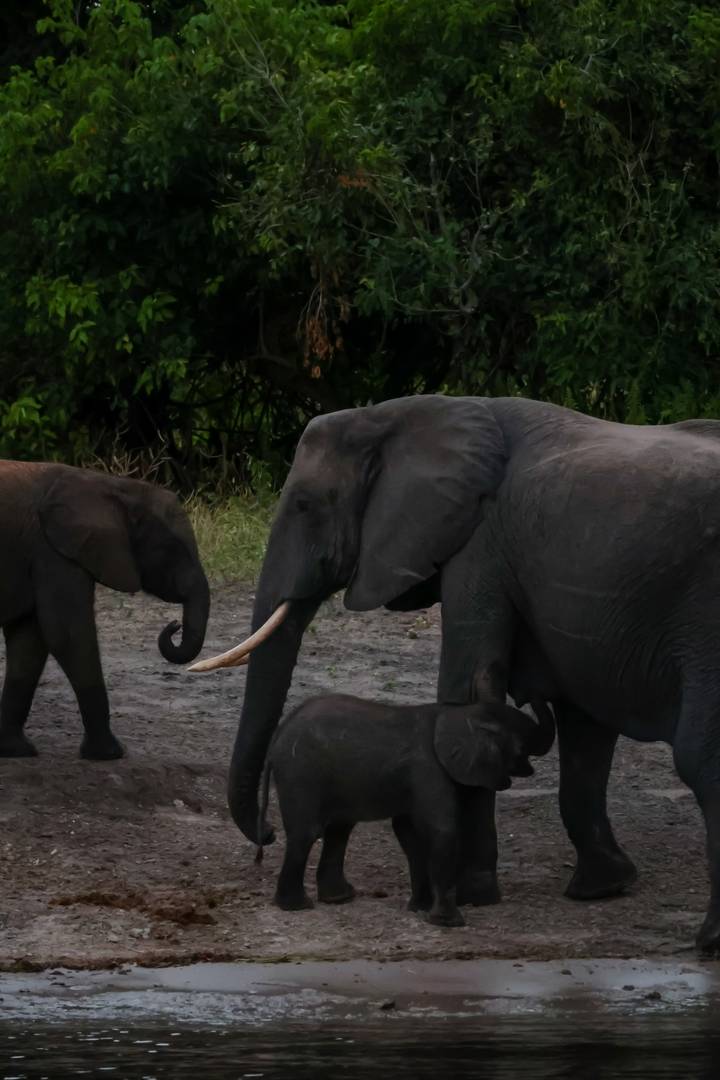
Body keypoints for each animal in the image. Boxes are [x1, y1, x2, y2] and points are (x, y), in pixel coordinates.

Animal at [0, 461, 209, 760]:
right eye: (172, 550)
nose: (173, 625)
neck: (114, 486)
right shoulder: (53, 552)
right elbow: (68, 636)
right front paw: (110, 753)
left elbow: (29, 642)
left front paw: (16, 749)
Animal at [257, 693, 555, 925]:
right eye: (520, 746)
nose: (526, 694)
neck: (457, 713)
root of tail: (277, 736)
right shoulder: (428, 769)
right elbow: (441, 830)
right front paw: (449, 923)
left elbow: (408, 832)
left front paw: (420, 909)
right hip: (300, 772)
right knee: (307, 832)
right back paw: (298, 906)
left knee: (339, 829)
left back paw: (338, 898)